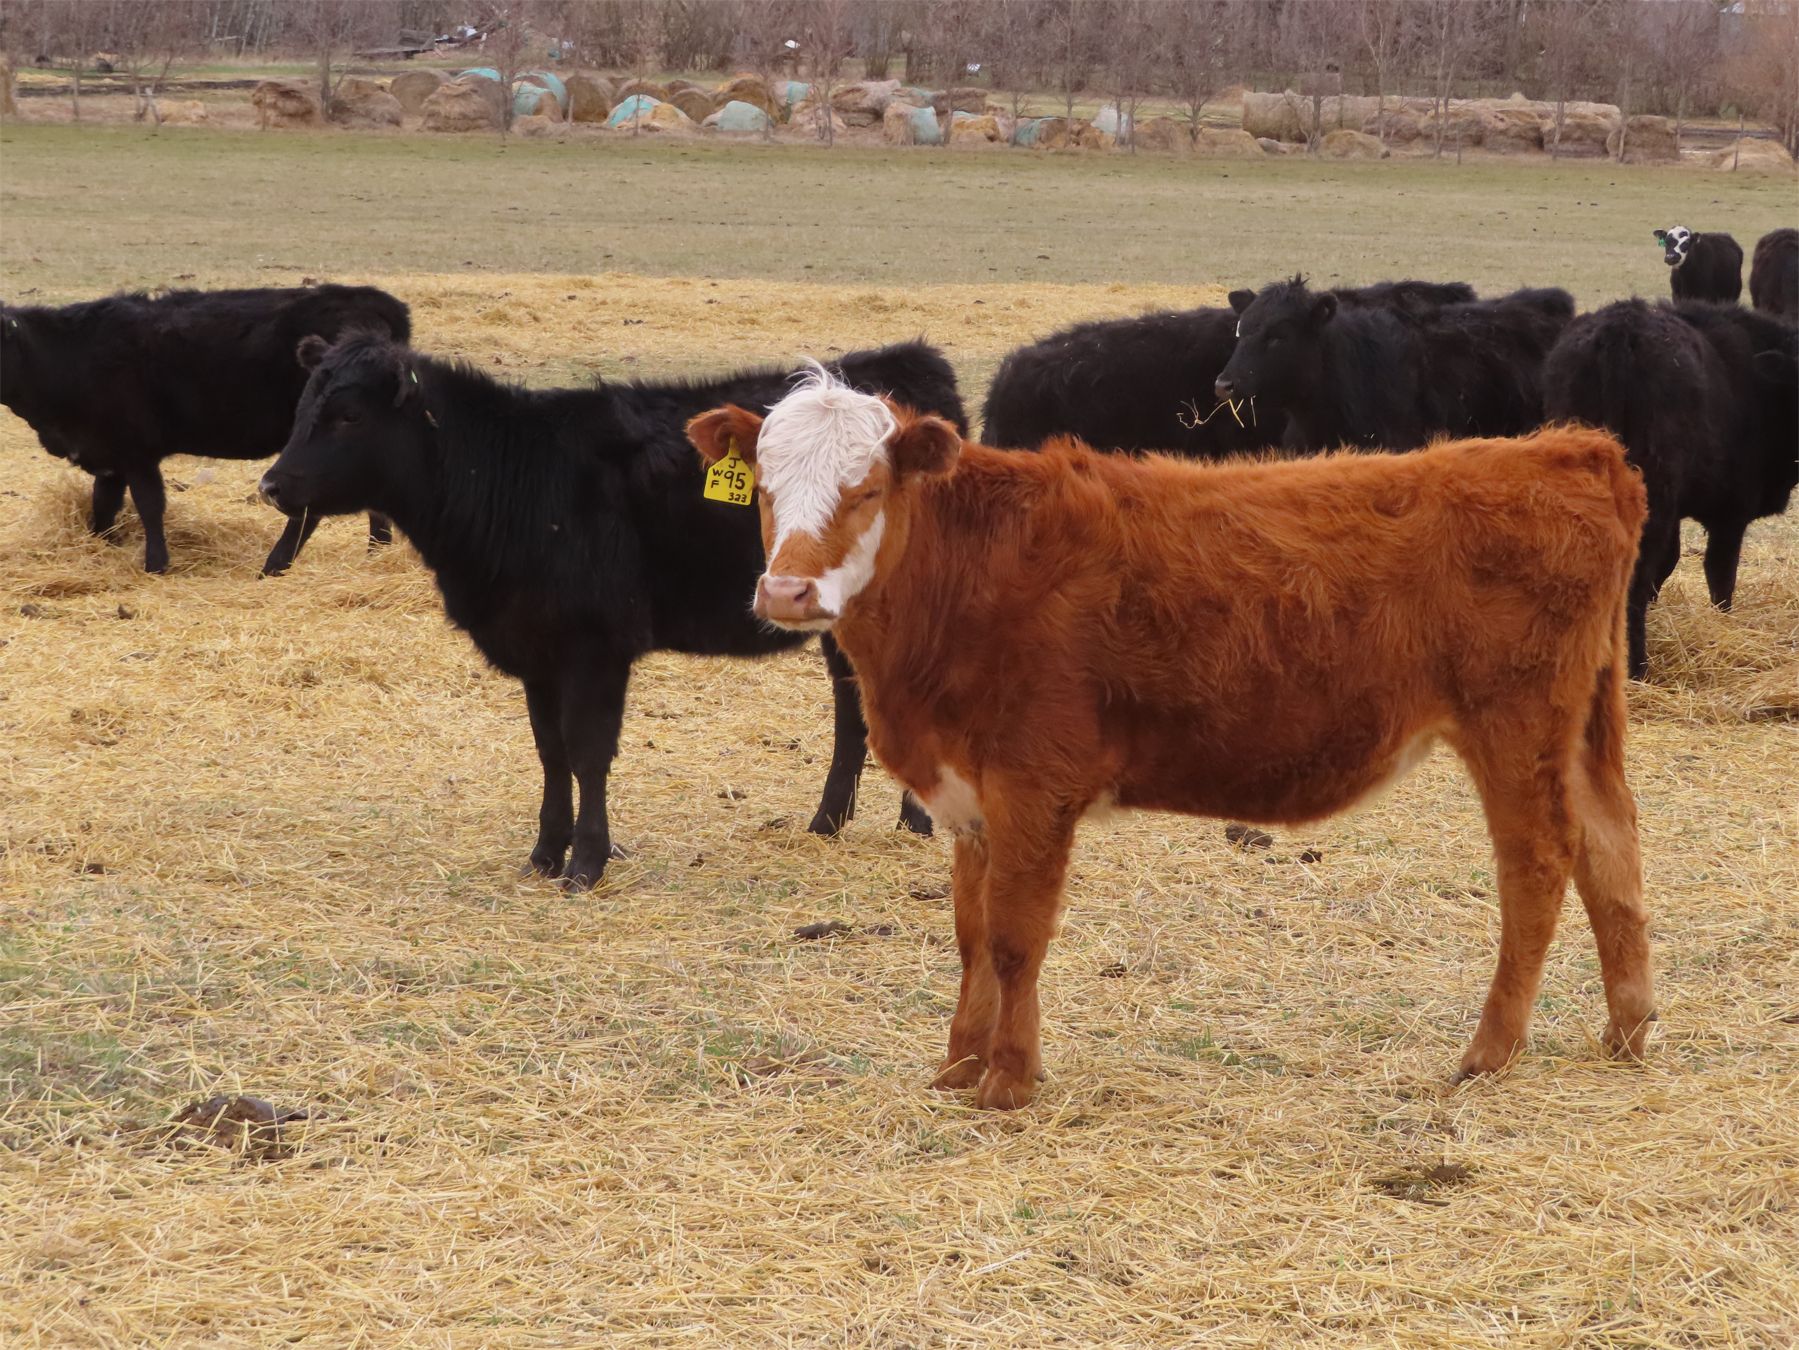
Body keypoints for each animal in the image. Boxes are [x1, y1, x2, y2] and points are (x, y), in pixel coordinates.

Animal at [0, 285, 408, 575]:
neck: (70, 354)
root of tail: (377, 301)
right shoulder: (109, 455)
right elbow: (102, 507)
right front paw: (101, 549)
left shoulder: (137, 453)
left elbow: (149, 505)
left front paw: (155, 564)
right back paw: (375, 553)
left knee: (306, 511)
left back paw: (274, 565)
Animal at [259, 335, 967, 889]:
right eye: (302, 407)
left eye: (349, 416)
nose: (272, 484)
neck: (517, 478)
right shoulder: (534, 650)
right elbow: (550, 751)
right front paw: (545, 854)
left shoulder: (595, 646)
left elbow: (587, 751)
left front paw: (586, 862)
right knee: (854, 707)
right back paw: (832, 824)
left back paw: (912, 820)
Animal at [689, 373, 1653, 1111]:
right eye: (765, 488)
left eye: (866, 490)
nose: (787, 592)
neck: (968, 574)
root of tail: (1568, 449)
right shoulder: (970, 800)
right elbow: (970, 935)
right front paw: (958, 1064)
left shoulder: (1034, 787)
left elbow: (1015, 936)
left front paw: (1008, 1081)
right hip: (1575, 730)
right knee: (1610, 849)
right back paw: (1627, 1030)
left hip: (1513, 724)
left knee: (1538, 864)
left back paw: (1489, 1053)